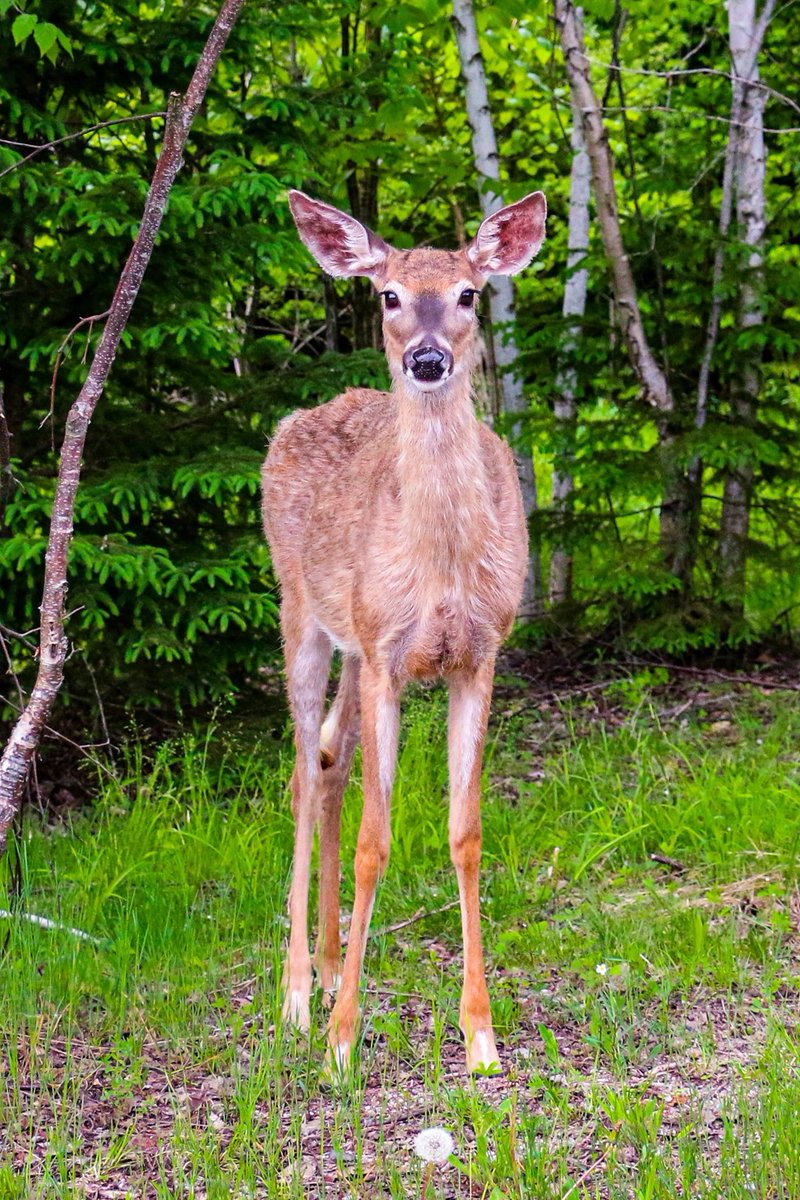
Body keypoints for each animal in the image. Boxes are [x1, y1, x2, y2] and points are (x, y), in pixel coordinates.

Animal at [261, 187, 546, 1077]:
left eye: (469, 293)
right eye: (387, 295)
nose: (426, 360)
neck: (441, 567)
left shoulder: (479, 655)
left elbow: (466, 833)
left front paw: (482, 1035)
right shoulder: (388, 658)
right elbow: (374, 842)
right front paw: (343, 1042)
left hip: (354, 645)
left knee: (328, 762)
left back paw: (323, 968)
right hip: (302, 612)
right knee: (300, 773)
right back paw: (296, 995)